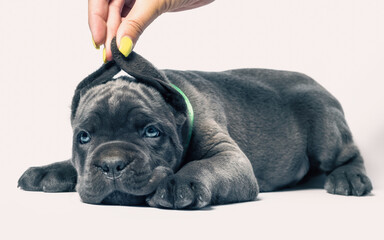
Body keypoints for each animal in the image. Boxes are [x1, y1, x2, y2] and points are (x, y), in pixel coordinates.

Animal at [18, 39, 372, 208]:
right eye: (84, 137)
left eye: (151, 132)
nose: (112, 165)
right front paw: (48, 170)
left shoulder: (231, 159)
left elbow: (204, 165)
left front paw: (178, 183)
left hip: (323, 127)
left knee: (350, 154)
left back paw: (349, 178)